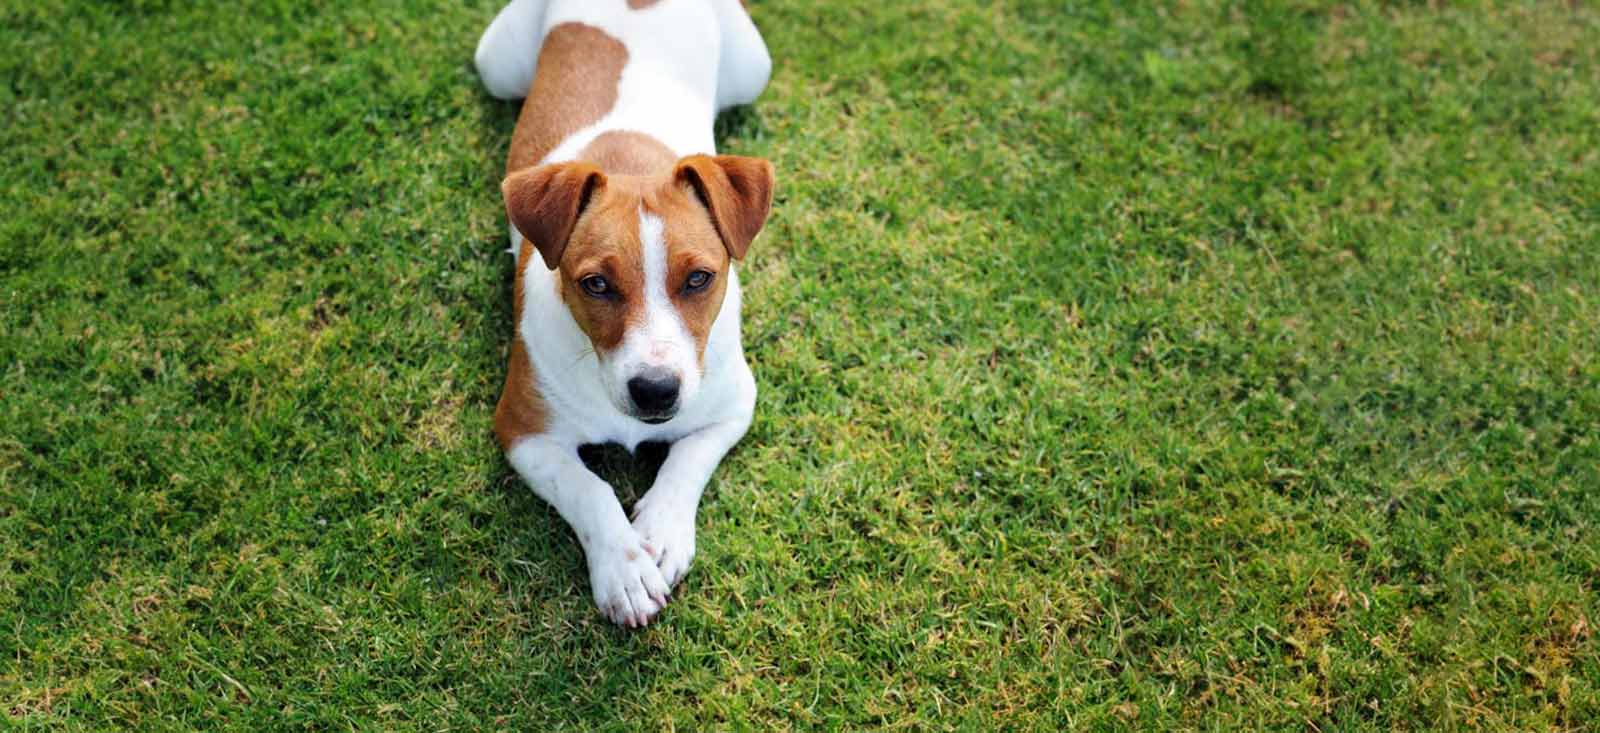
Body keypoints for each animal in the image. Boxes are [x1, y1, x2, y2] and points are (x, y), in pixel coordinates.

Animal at [470, 1, 771, 630]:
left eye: (699, 278)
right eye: (597, 284)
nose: (655, 390)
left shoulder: (734, 406)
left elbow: (686, 462)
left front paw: (661, 531)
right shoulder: (523, 431)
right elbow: (587, 489)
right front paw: (624, 568)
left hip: (753, 68)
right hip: (496, 64)